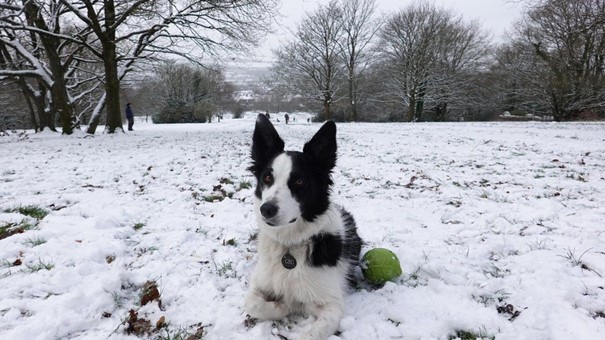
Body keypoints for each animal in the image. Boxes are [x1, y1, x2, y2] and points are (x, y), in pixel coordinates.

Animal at [243, 115, 360, 340]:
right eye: (267, 178)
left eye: (299, 181)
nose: (266, 209)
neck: (290, 244)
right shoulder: (258, 282)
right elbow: (252, 304)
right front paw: (283, 305)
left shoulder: (332, 305)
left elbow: (311, 333)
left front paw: (287, 304)